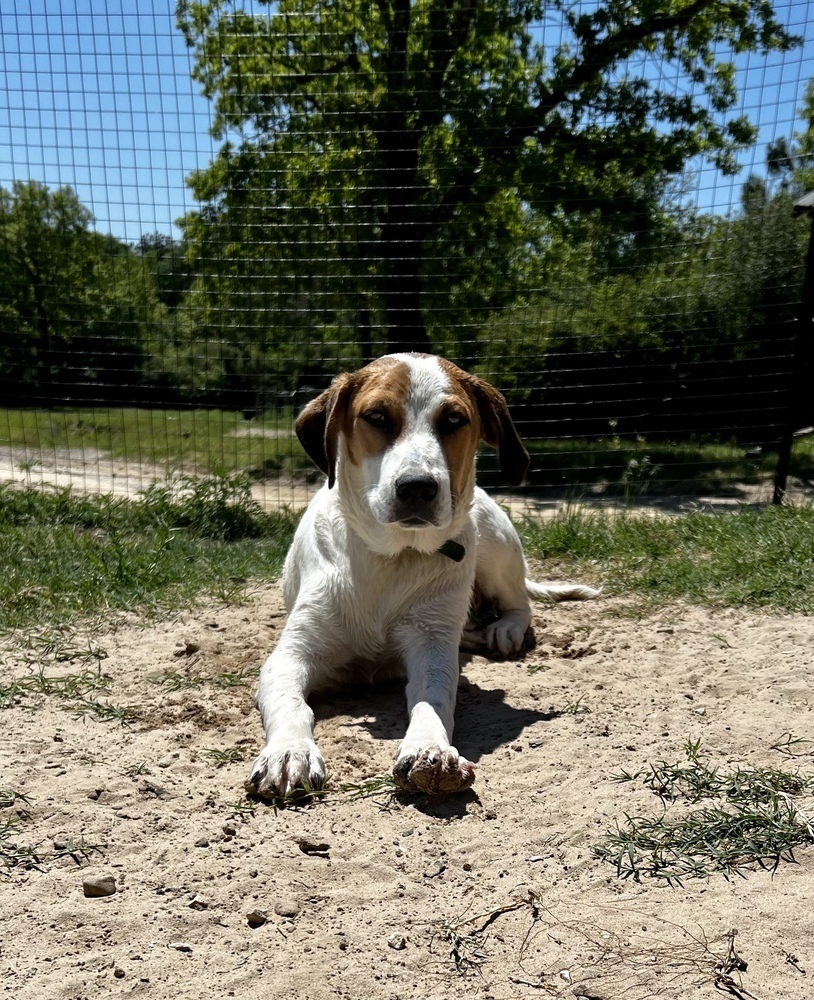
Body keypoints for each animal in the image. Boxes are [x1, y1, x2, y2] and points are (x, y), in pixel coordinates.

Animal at [245, 352, 596, 796]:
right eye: (376, 417)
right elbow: (291, 703)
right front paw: (289, 752)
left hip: (494, 545)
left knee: (519, 602)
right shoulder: (290, 656)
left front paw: (430, 749)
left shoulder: (431, 647)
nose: (417, 487)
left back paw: (504, 628)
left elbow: (434, 698)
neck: (393, 559)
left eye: (453, 420)